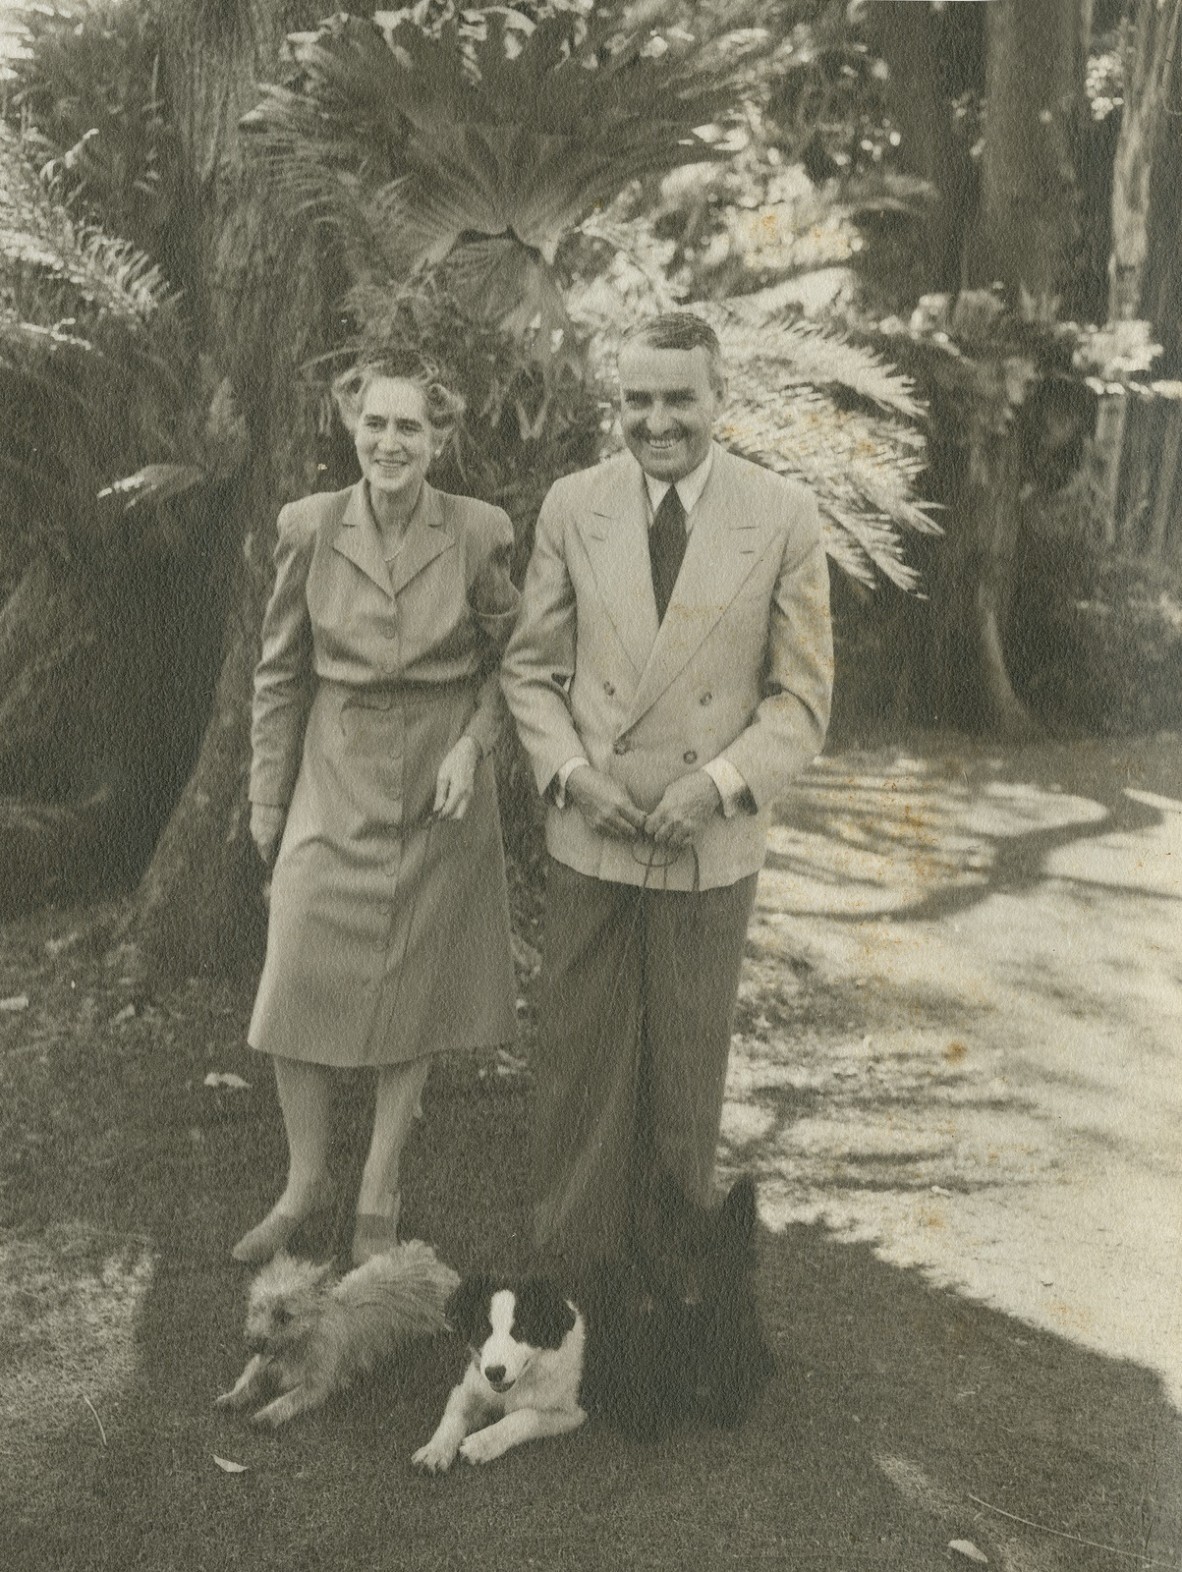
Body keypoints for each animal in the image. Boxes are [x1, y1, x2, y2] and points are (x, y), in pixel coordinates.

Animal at [220, 1238, 458, 1427]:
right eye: (257, 1309)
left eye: (285, 1316)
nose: (253, 1343)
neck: (302, 1346)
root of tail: (427, 1257)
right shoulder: (262, 1363)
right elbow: (248, 1378)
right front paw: (231, 1396)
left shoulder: (316, 1386)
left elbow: (289, 1399)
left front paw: (266, 1415)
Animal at [411, 1270, 587, 1465]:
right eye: (483, 1329)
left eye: (523, 1329)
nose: (494, 1373)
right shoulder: (471, 1385)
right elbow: (455, 1412)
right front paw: (434, 1450)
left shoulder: (573, 1412)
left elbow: (525, 1415)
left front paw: (480, 1443)